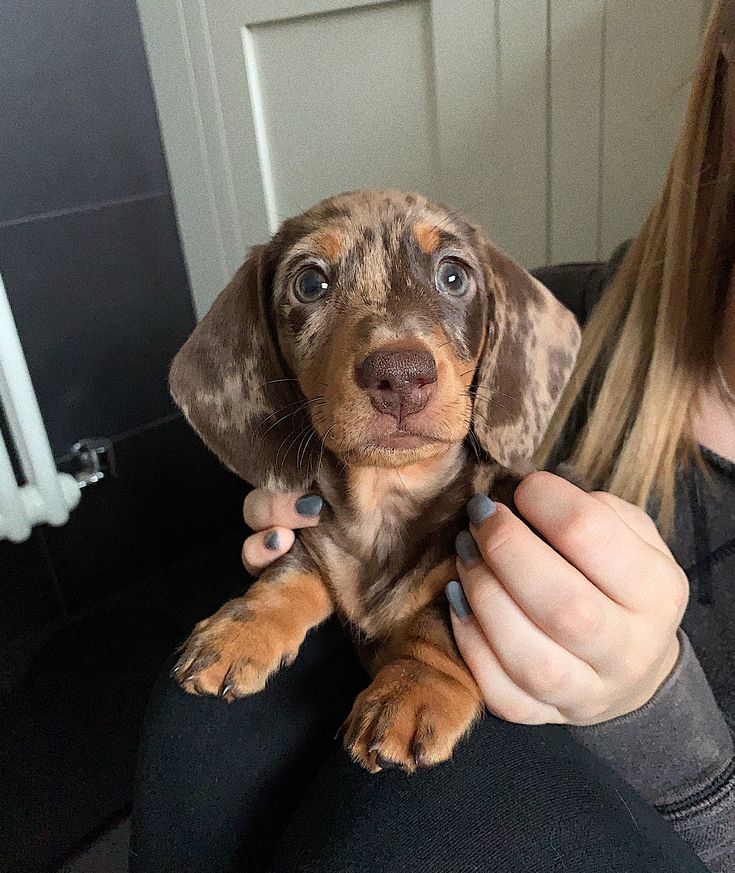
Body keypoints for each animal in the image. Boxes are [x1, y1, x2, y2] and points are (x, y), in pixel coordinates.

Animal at [168, 189, 580, 768]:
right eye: (310, 283)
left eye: (453, 276)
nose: (401, 376)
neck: (387, 501)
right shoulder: (315, 536)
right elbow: (289, 571)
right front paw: (241, 628)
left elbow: (440, 618)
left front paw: (412, 688)